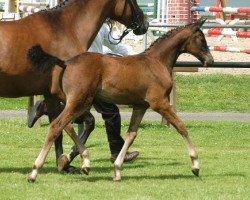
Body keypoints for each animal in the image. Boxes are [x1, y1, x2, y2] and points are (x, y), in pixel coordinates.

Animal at [28, 18, 214, 181]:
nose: (210, 60)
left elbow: (131, 134)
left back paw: (83, 162)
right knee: (56, 125)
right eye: (201, 39)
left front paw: (117, 169)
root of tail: (66, 63)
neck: (156, 62)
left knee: (66, 125)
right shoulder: (160, 103)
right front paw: (195, 165)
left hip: (78, 102)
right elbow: (181, 126)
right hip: (78, 101)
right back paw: (35, 171)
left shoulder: (140, 106)